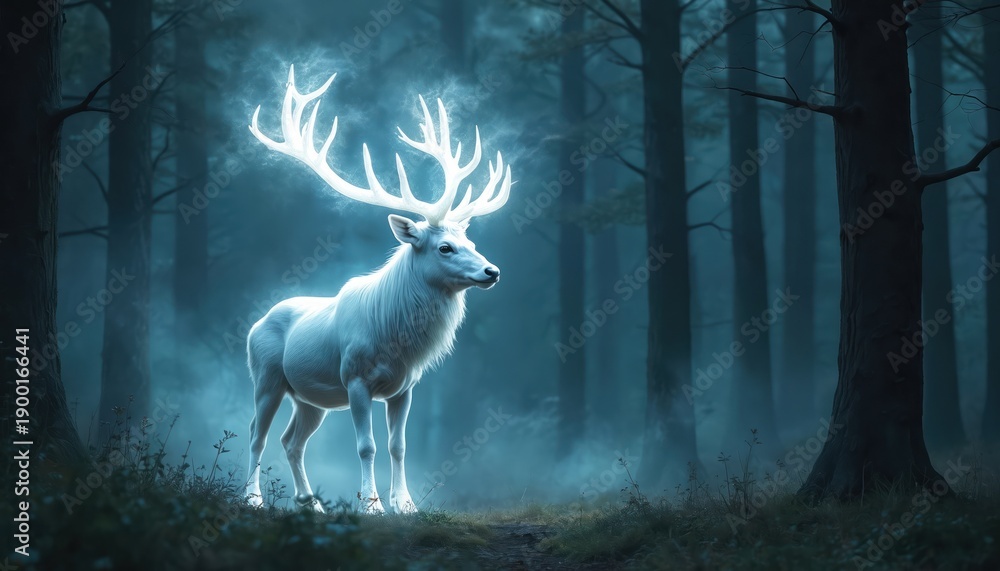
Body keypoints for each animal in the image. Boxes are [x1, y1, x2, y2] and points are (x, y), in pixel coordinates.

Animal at [243, 66, 512, 514]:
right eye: (445, 246)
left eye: (471, 242)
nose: (492, 271)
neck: (395, 338)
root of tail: (256, 323)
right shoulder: (355, 379)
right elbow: (366, 446)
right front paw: (371, 505)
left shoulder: (405, 389)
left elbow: (397, 446)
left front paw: (405, 504)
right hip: (265, 377)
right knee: (256, 433)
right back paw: (252, 497)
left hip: (309, 398)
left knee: (291, 441)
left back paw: (311, 503)